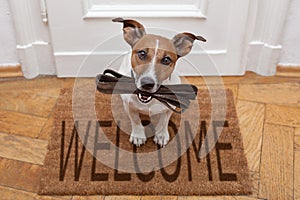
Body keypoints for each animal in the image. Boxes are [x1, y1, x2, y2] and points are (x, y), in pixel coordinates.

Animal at [113, 18, 206, 147]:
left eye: (166, 60)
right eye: (142, 53)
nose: (147, 83)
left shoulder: (169, 108)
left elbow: (163, 121)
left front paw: (161, 135)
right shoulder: (129, 106)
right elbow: (136, 120)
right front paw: (138, 135)